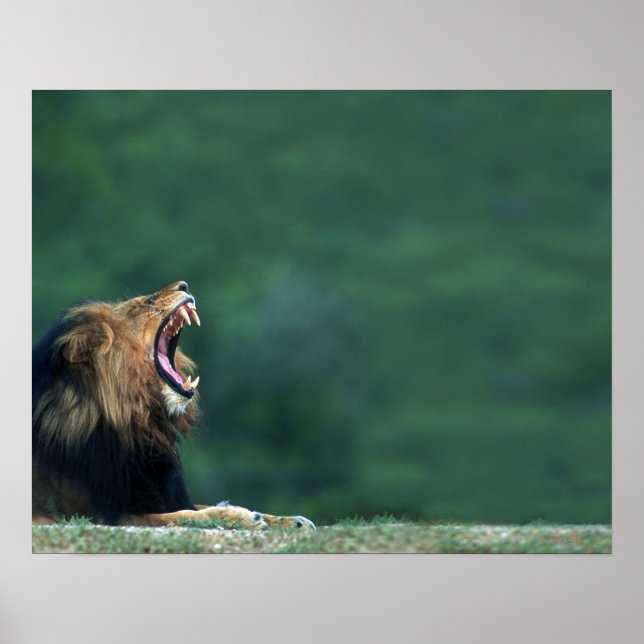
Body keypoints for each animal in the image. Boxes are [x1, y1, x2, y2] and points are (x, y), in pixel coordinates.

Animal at [32, 280, 315, 530]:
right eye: (145, 303)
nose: (185, 286)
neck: (140, 424)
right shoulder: (100, 513)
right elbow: (184, 515)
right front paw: (242, 517)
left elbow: (196, 506)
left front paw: (291, 520)